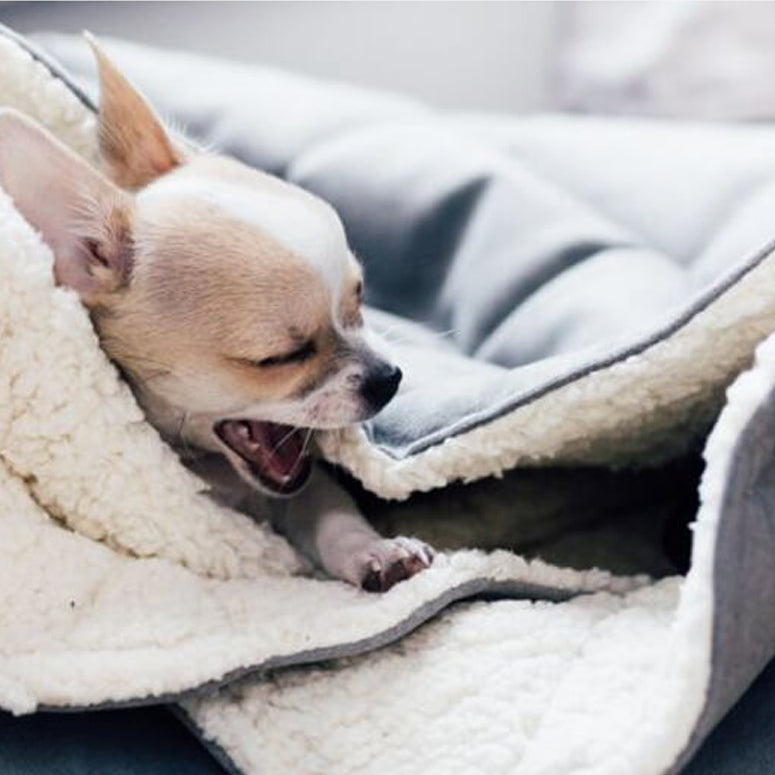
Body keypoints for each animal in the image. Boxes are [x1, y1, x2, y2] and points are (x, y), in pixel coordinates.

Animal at [0, 36, 434, 592]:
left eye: (359, 300)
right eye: (279, 357)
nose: (389, 378)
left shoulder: (298, 486)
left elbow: (326, 505)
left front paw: (373, 549)